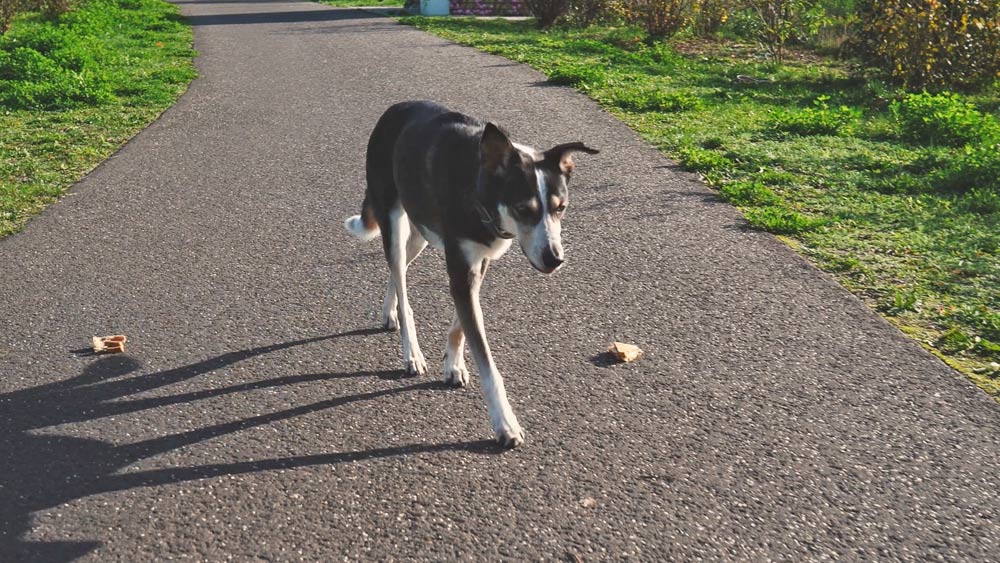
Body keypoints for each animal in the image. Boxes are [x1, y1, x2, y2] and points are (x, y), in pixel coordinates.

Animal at [344, 99, 596, 448]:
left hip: (420, 234)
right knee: (403, 286)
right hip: (393, 222)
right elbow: (487, 363)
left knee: (398, 272)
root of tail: (394, 109)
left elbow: (460, 327)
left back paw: (388, 312)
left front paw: (452, 364)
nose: (554, 258)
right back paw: (412, 352)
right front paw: (505, 423)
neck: (479, 188)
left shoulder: (478, 264)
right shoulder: (460, 270)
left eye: (561, 208)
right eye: (523, 209)